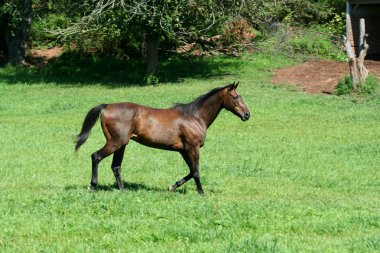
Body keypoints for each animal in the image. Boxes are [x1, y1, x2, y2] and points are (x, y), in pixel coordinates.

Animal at [75, 82, 251, 195]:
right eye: (235, 97)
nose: (247, 115)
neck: (194, 117)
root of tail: (107, 106)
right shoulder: (192, 148)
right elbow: (196, 172)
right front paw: (201, 193)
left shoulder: (183, 150)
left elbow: (190, 171)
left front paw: (172, 187)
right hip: (115, 143)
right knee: (96, 156)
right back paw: (92, 186)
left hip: (121, 144)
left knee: (116, 166)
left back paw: (123, 190)